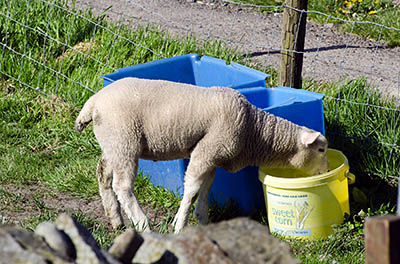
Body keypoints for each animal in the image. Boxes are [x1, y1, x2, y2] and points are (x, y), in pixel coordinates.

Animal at [75, 76, 328, 233]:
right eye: (321, 149)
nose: (325, 173)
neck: (254, 131)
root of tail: (93, 102)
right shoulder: (206, 150)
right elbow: (192, 187)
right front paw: (179, 224)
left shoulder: (212, 156)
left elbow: (206, 187)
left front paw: (203, 220)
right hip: (124, 141)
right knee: (123, 186)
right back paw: (142, 223)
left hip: (112, 143)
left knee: (103, 173)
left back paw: (115, 219)